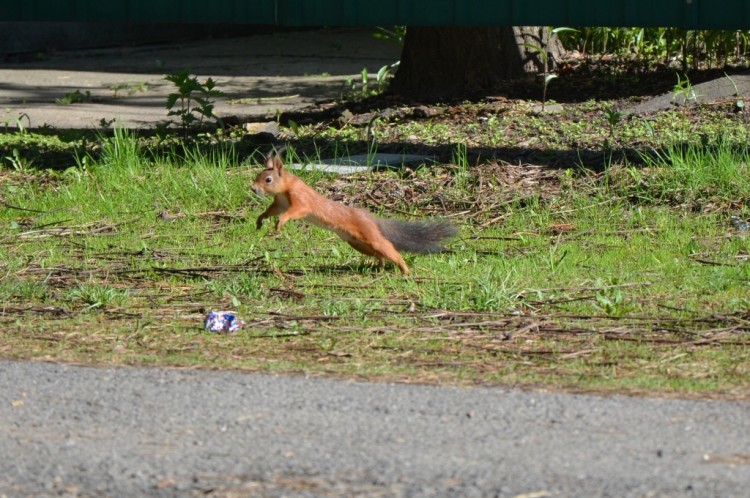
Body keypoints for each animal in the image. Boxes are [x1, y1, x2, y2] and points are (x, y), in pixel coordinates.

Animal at [253, 147, 456, 276]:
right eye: (258, 176)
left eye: (268, 179)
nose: (253, 189)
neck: (285, 188)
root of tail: (371, 218)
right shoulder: (280, 202)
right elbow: (272, 210)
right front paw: (260, 219)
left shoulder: (301, 199)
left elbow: (296, 211)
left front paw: (281, 222)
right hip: (358, 243)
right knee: (380, 254)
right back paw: (379, 267)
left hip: (369, 236)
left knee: (388, 248)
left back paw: (404, 270)